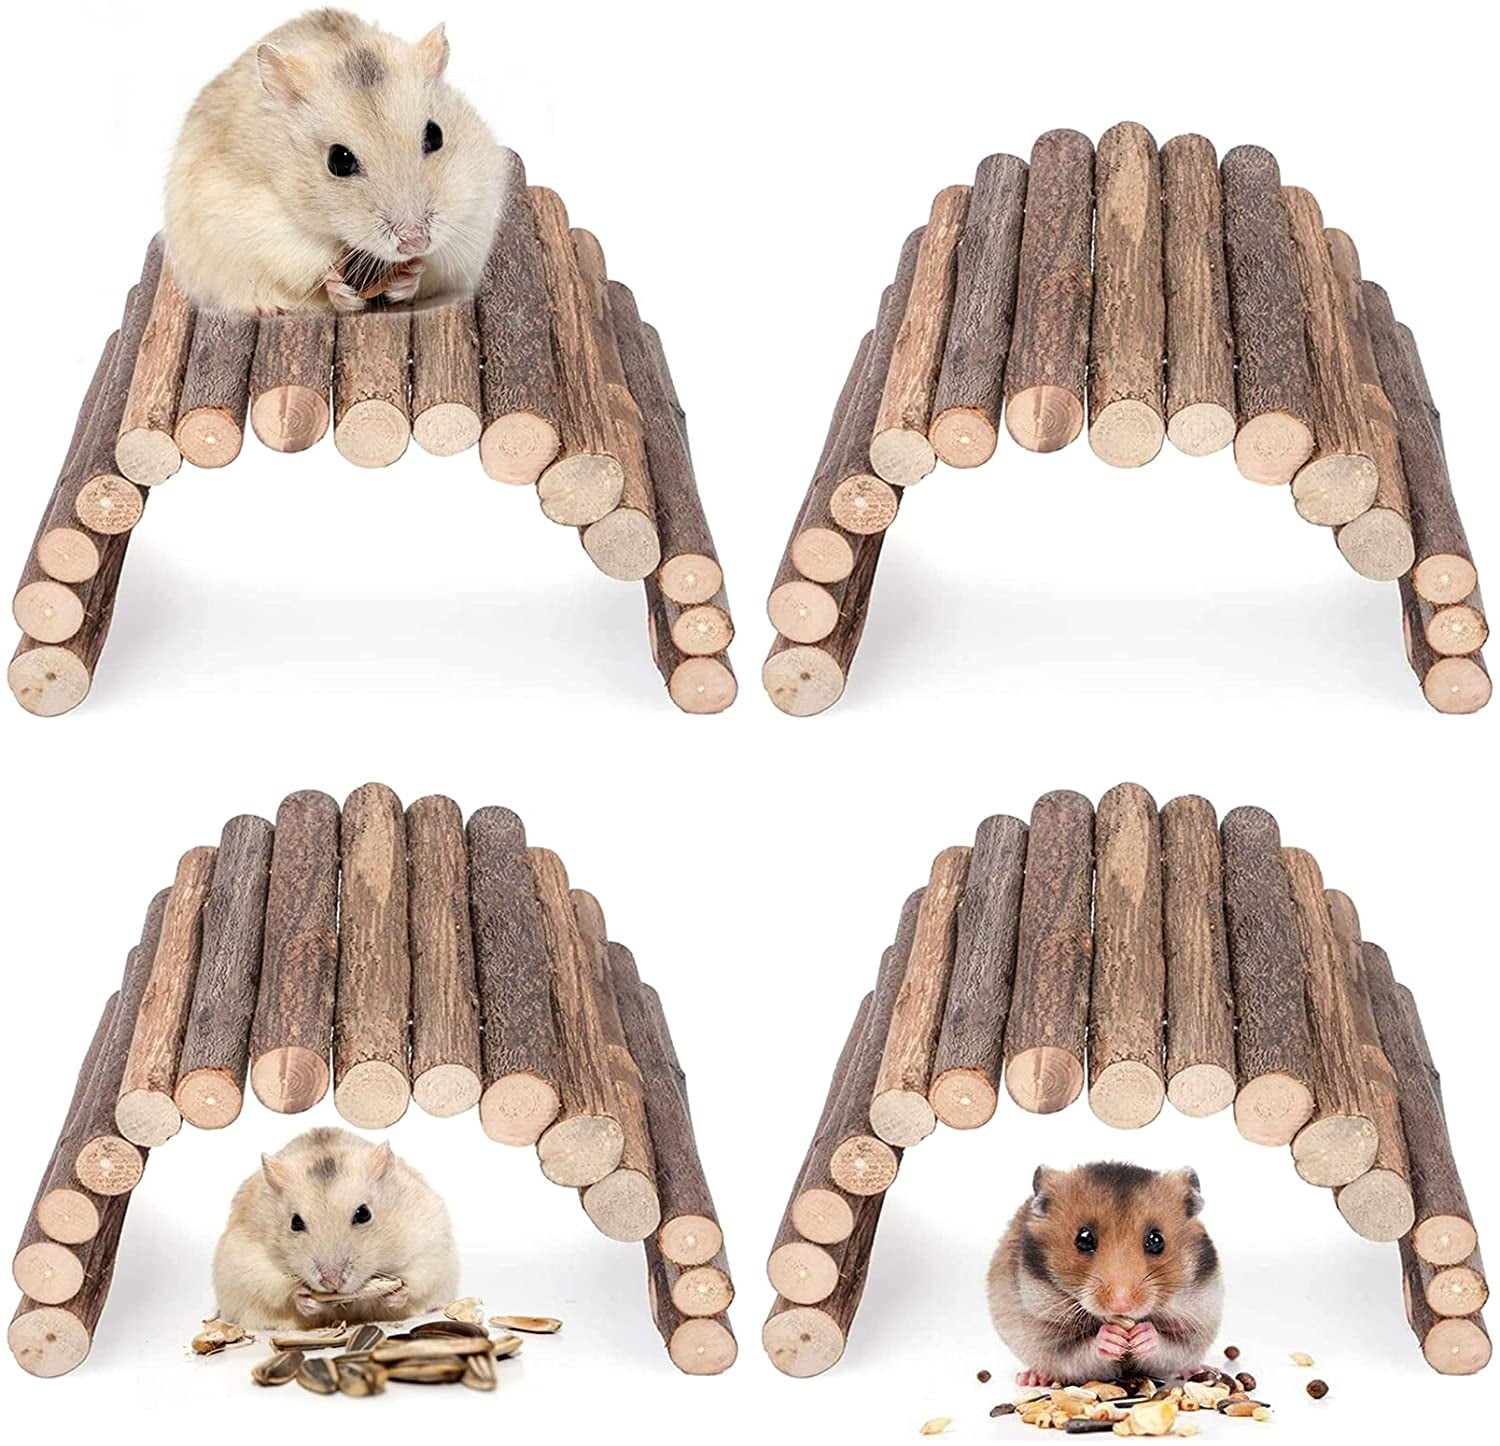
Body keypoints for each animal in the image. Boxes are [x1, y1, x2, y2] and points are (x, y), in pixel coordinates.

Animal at [165, 9, 507, 314]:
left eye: (435, 135)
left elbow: (436, 267)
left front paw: (409, 276)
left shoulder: (472, 219)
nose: (415, 243)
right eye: (338, 161)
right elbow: (309, 268)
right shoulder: (261, 225)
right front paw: (339, 291)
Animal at [213, 1126, 460, 1329]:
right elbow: (281, 1291)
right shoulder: (249, 1264)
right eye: (295, 1222)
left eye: (363, 1213)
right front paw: (303, 1297)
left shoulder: (429, 1243)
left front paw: (396, 1293)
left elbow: (416, 1280)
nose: (332, 1282)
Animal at [987, 1161, 1223, 1387]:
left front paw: (1143, 1335)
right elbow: (1079, 1352)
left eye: (1156, 1241)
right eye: (1083, 1239)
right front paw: (1112, 1337)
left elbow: (1170, 1347)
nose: (1121, 1304)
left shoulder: (1197, 1319)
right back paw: (1032, 1378)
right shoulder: (1044, 1331)